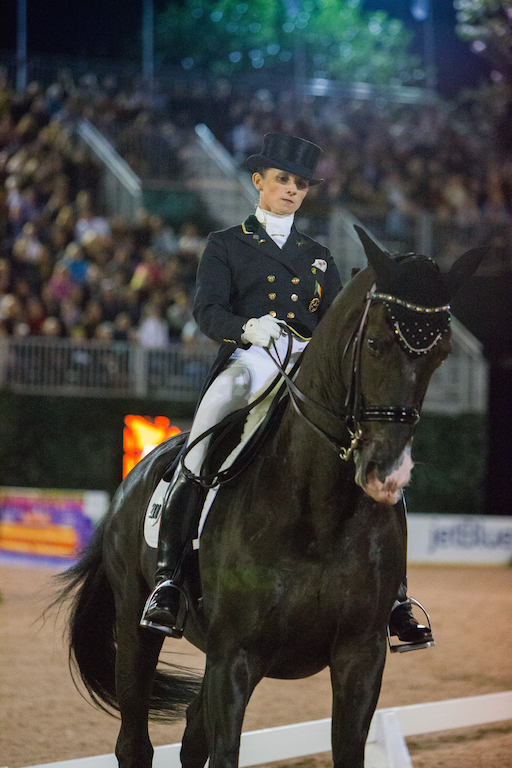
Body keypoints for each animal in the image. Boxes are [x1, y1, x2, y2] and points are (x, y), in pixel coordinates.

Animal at [54, 230, 486, 768]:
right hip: (137, 626)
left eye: (441, 353)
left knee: (192, 735)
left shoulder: (360, 658)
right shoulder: (234, 658)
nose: (388, 473)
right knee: (135, 742)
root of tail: (135, 476)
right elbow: (225, 752)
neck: (318, 512)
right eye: (375, 343)